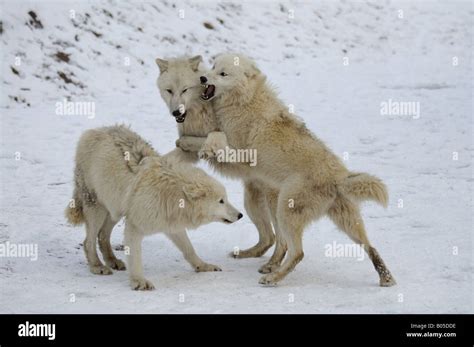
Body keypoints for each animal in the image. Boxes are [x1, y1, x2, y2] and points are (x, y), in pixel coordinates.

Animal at [65, 125, 243, 290]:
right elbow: (135, 258)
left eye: (226, 199)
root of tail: (94, 130)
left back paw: (113, 261)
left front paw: (203, 266)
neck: (170, 195)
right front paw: (139, 282)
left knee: (102, 235)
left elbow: (189, 249)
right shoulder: (135, 227)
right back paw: (97, 266)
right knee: (88, 241)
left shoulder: (172, 226)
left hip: (115, 209)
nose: (240, 215)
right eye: (221, 201)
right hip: (97, 208)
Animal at [156, 55, 278, 260]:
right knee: (269, 238)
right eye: (169, 91)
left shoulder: (228, 142)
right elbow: (165, 160)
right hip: (251, 203)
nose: (176, 112)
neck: (200, 109)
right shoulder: (188, 155)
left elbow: (208, 139)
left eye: (185, 90)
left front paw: (187, 142)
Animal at [196, 55, 396, 288]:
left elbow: (216, 137)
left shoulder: (243, 158)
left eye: (223, 74)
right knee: (369, 246)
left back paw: (272, 277)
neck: (245, 102)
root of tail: (338, 178)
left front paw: (207, 149)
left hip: (285, 209)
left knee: (297, 252)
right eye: (212, 67)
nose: (202, 78)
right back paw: (386, 278)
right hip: (344, 221)